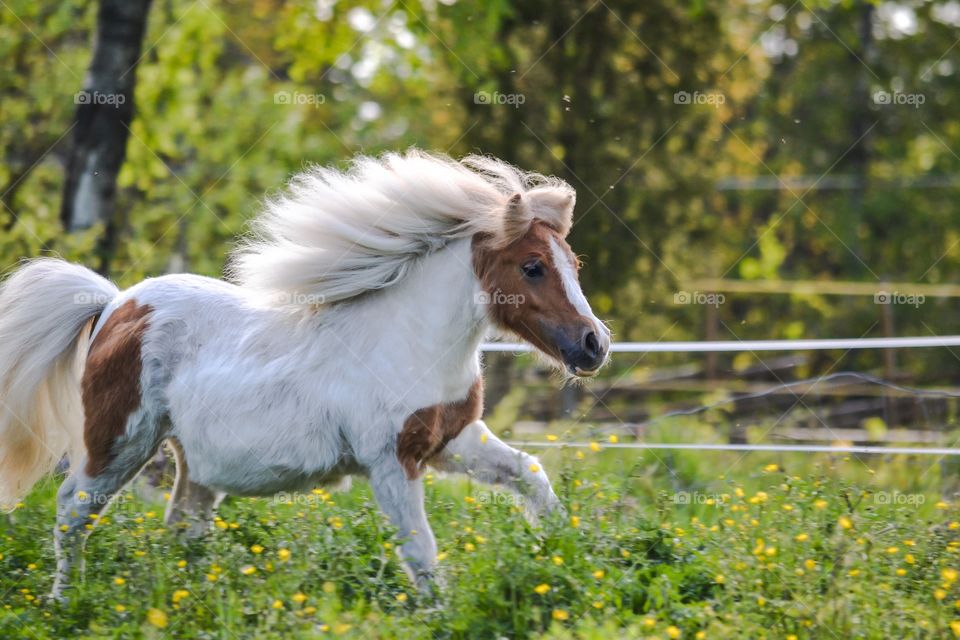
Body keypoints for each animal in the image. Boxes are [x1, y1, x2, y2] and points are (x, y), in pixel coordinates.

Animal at [0, 150, 608, 600]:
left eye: (574, 263)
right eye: (532, 266)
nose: (595, 344)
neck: (408, 340)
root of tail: (112, 305)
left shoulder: (453, 439)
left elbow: (530, 474)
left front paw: (565, 553)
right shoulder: (391, 461)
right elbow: (421, 549)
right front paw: (441, 614)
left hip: (191, 461)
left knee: (182, 526)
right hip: (118, 443)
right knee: (72, 514)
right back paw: (64, 604)